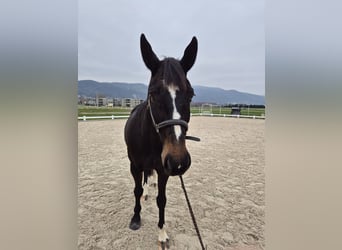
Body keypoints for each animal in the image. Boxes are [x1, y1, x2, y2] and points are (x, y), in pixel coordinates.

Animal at [124, 33, 196, 248]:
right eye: (153, 94)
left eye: (191, 95)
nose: (178, 160)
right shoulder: (134, 166)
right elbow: (137, 190)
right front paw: (136, 218)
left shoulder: (164, 170)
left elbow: (162, 199)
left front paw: (162, 233)